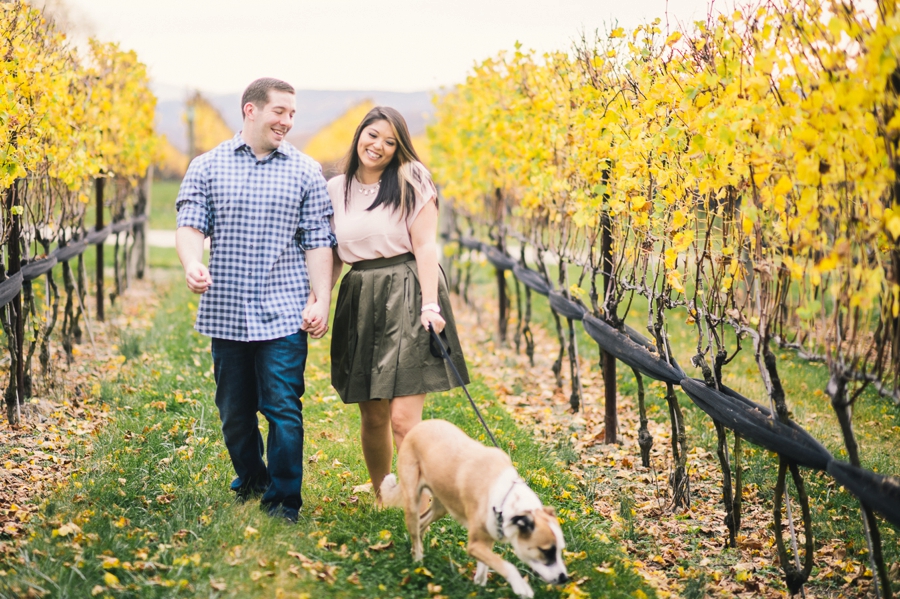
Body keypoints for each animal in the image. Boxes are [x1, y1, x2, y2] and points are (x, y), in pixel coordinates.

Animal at [382, 420, 568, 596]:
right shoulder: (474, 545)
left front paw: (479, 587)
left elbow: (484, 568)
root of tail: (418, 427)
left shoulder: (489, 537)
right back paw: (418, 561)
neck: (505, 497)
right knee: (415, 527)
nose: (564, 579)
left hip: (442, 504)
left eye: (560, 550)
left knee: (422, 523)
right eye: (546, 551)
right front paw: (521, 586)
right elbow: (507, 565)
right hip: (413, 500)